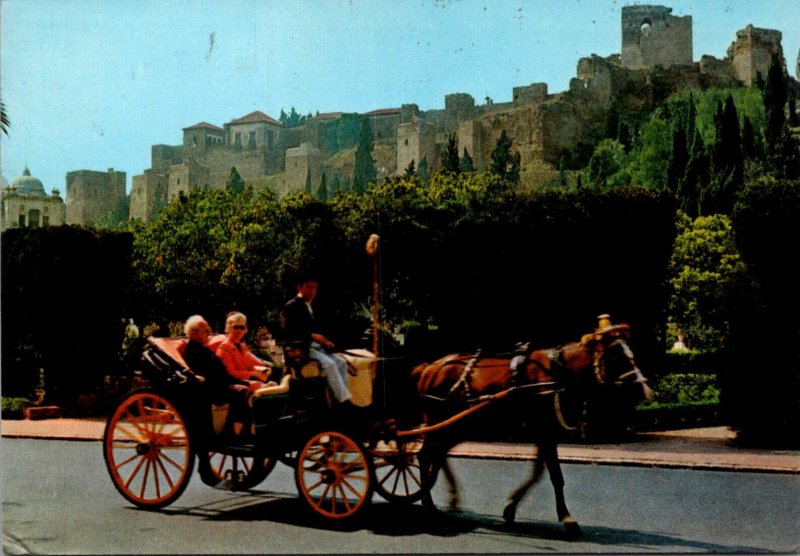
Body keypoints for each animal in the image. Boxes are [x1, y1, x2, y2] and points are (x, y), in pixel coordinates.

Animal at [412, 322, 648, 536]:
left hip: (457, 426)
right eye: (615, 357)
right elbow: (555, 477)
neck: (559, 373)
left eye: (631, 354)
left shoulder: (545, 436)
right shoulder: (545, 434)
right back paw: (427, 500)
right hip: (441, 424)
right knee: (425, 456)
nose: (644, 388)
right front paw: (567, 518)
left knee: (438, 455)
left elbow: (538, 473)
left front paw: (510, 509)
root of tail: (429, 367)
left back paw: (445, 495)